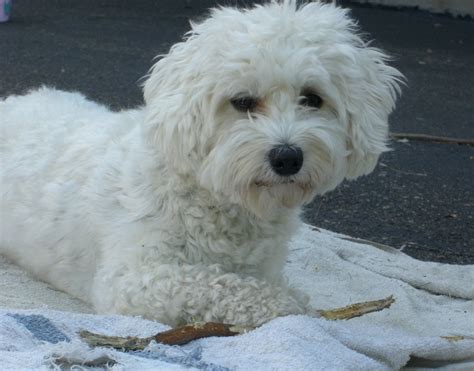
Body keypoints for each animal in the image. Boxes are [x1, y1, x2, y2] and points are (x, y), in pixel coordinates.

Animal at [0, 1, 402, 326]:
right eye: (242, 102)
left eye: (312, 99)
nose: (287, 157)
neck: (212, 194)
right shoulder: (131, 281)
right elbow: (214, 282)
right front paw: (285, 304)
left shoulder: (263, 267)